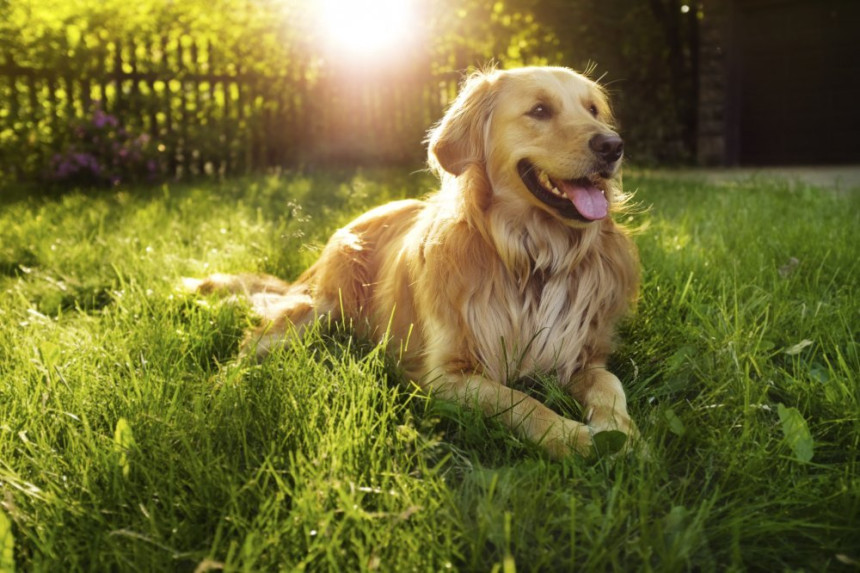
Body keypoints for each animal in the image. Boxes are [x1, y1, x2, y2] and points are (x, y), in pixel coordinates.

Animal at [193, 67, 640, 458]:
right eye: (541, 110)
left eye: (593, 110)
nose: (613, 146)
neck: (532, 258)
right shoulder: (446, 375)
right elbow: (519, 401)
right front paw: (573, 438)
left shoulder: (580, 354)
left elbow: (609, 383)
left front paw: (620, 432)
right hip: (318, 310)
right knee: (249, 347)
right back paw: (221, 391)